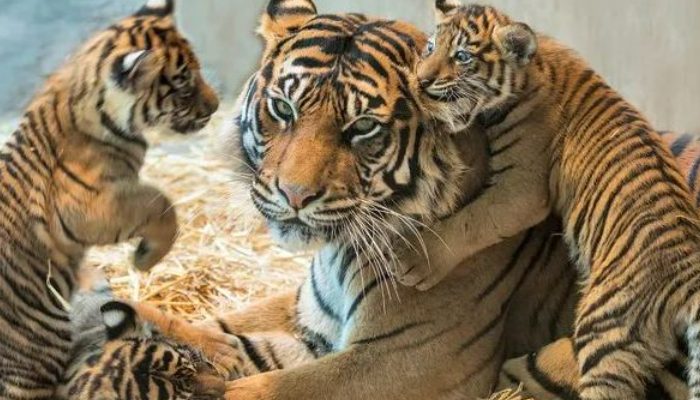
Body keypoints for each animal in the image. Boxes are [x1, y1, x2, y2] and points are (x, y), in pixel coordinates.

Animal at [402, 1, 700, 398]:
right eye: (431, 48)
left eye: (462, 56)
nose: (421, 81)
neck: (532, 67)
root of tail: (689, 280)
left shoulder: (522, 189)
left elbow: (472, 221)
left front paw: (416, 261)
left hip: (605, 330)